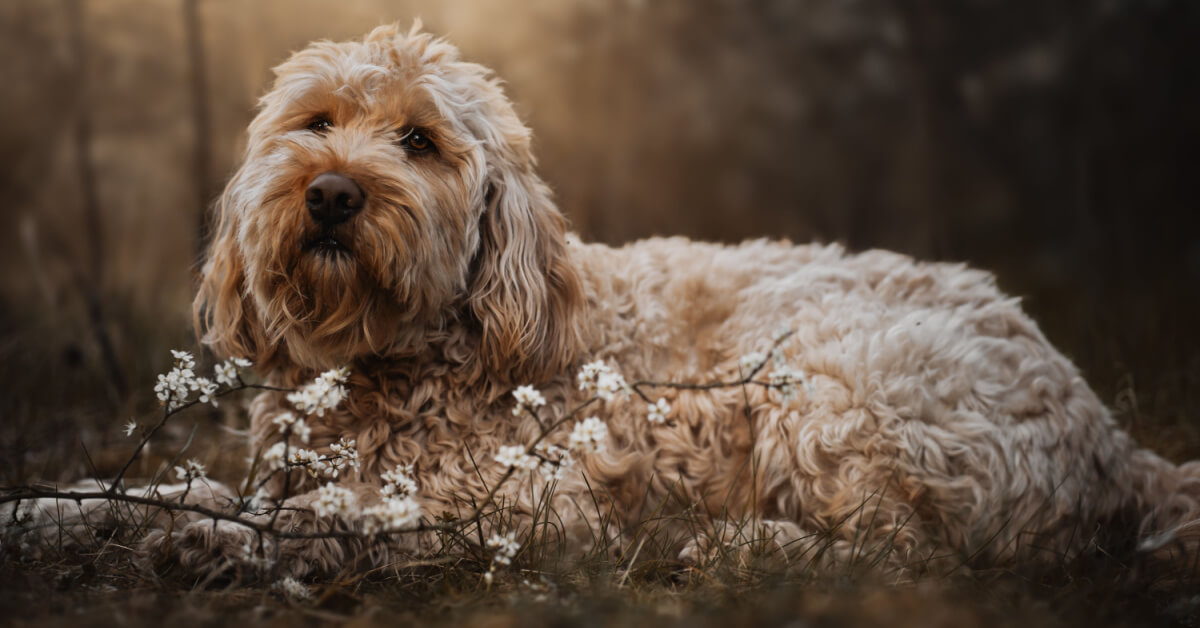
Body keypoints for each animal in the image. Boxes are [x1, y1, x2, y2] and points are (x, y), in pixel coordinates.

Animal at [124, 24, 1200, 581]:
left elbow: (357, 510)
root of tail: (1111, 438)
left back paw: (738, 544)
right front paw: (116, 510)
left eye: (420, 142)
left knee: (903, 555)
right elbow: (197, 489)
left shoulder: (525, 503)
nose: (332, 193)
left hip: (828, 375)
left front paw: (221, 539)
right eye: (315, 123)